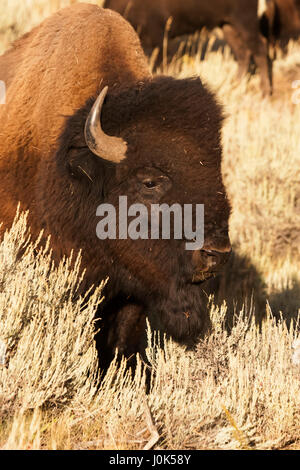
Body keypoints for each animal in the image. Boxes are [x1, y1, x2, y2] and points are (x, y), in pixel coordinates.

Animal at [105, 0, 272, 95]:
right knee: (243, 52)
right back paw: (234, 85)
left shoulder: (162, 39)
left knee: (259, 49)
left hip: (244, 22)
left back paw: (265, 92)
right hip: (227, 25)